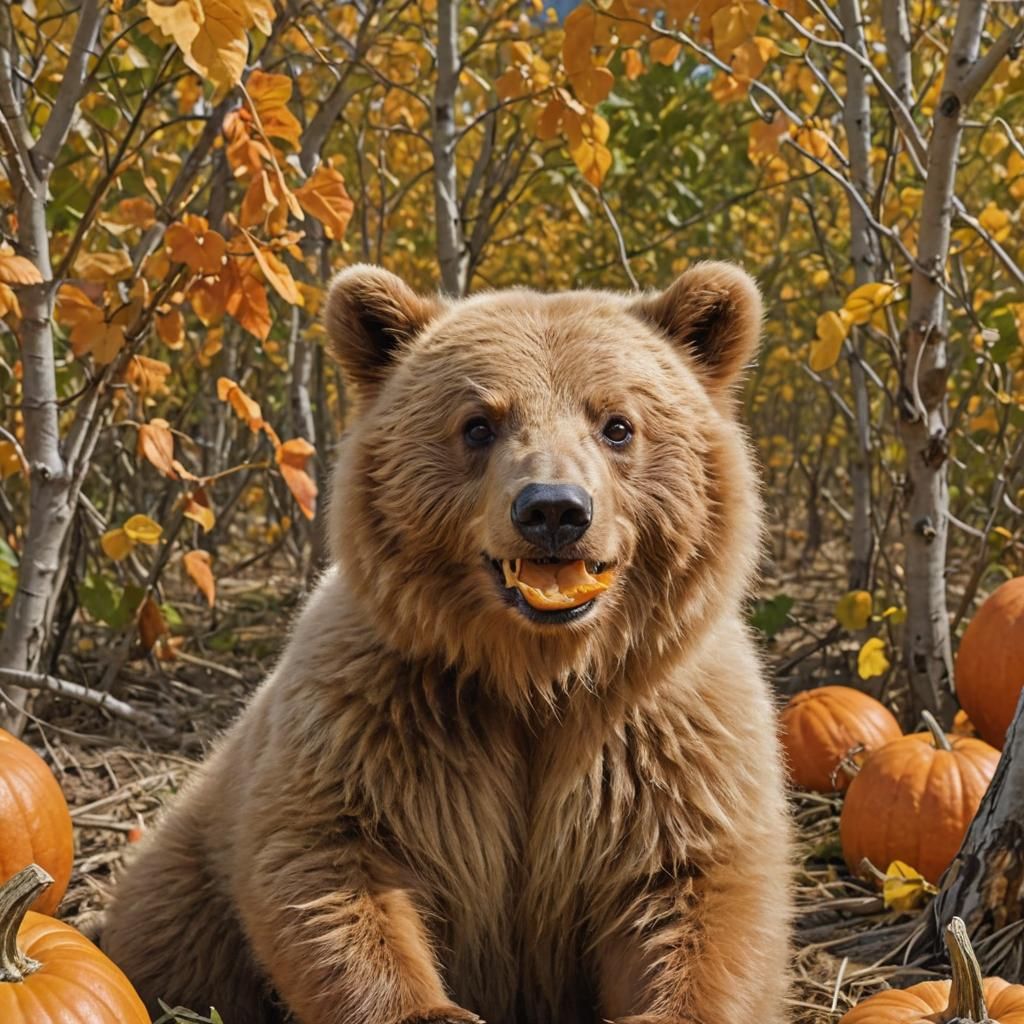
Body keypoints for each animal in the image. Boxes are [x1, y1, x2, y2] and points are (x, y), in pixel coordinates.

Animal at [102, 261, 792, 1024]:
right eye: (479, 424)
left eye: (617, 424)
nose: (554, 510)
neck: (534, 676)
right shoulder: (385, 717)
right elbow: (331, 862)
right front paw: (432, 1008)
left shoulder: (661, 737)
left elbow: (694, 886)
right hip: (191, 863)